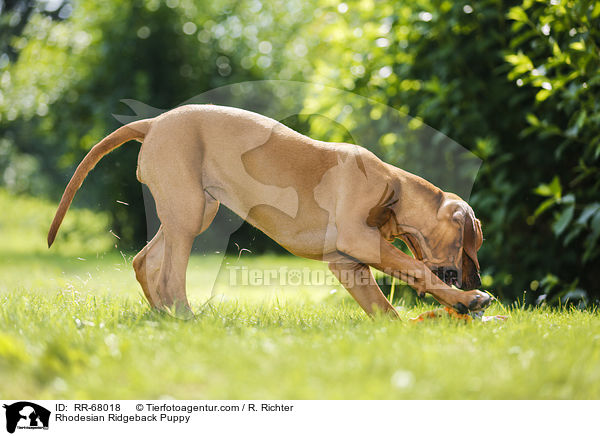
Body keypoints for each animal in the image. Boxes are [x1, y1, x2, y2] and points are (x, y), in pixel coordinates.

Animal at [49, 104, 492, 318]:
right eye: (470, 244)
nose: (476, 278)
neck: (395, 188)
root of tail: (153, 122)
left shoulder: (348, 262)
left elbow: (385, 309)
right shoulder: (359, 241)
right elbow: (417, 269)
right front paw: (468, 299)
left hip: (192, 209)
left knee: (145, 261)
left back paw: (164, 318)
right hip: (189, 214)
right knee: (170, 275)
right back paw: (186, 319)